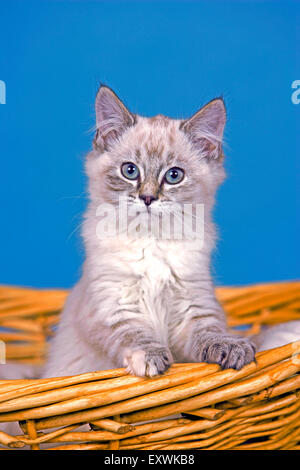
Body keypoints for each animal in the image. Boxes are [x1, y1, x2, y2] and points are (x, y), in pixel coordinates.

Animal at [43, 86, 256, 380]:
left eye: (174, 176)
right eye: (130, 171)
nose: (147, 198)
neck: (151, 240)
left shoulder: (193, 304)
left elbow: (209, 331)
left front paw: (231, 347)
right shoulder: (111, 307)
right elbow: (134, 335)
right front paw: (150, 358)